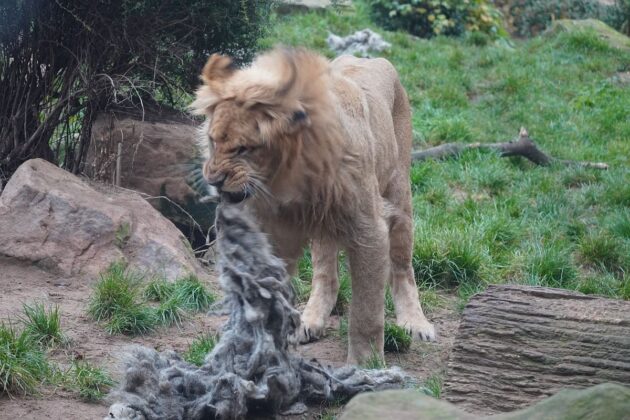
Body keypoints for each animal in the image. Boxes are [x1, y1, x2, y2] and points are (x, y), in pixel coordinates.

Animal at [193, 46, 436, 364]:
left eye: (244, 149)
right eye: (212, 141)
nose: (214, 180)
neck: (291, 180)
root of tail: (369, 58)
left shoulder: (369, 229)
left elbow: (367, 311)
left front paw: (367, 365)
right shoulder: (273, 233)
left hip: (399, 193)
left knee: (402, 267)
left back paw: (415, 323)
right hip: (324, 224)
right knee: (325, 274)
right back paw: (310, 322)